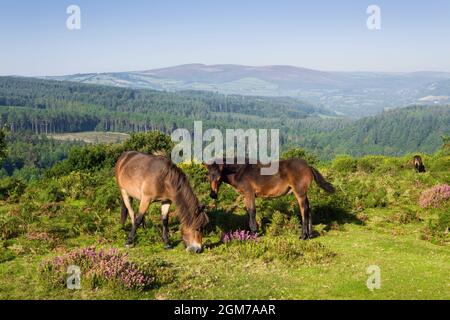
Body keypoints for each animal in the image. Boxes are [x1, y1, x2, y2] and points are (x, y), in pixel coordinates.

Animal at [204, 158, 334, 240]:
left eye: (219, 178)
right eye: (208, 177)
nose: (213, 195)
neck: (240, 171)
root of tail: (308, 166)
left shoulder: (249, 193)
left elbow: (252, 212)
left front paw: (254, 233)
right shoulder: (245, 195)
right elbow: (248, 212)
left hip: (299, 192)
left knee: (304, 210)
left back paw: (303, 236)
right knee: (309, 209)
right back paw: (310, 234)